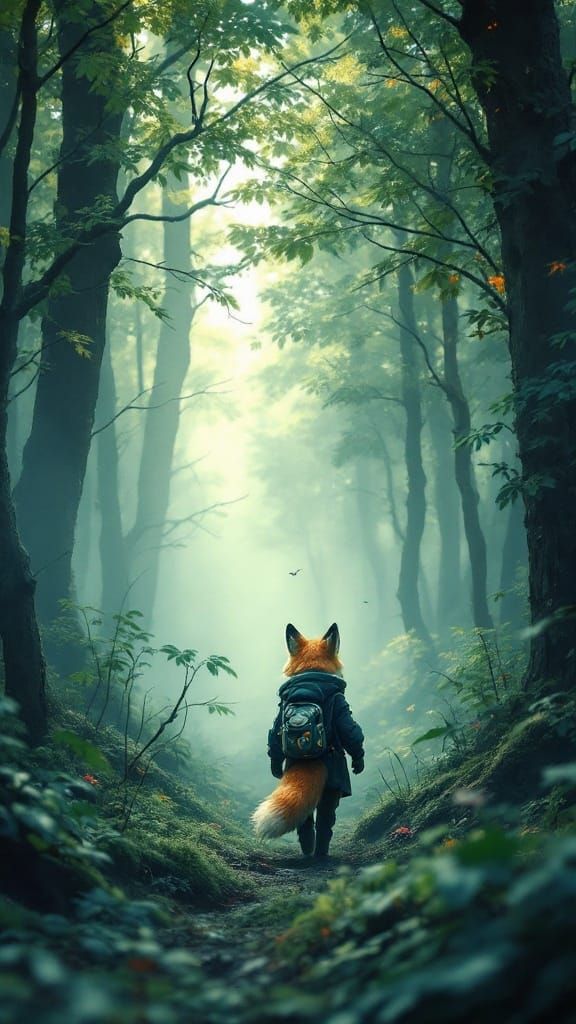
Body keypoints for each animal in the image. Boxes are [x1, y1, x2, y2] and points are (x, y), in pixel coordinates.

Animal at [252, 623, 365, 852]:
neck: (310, 677)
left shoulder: (279, 711)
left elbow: (273, 739)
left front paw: (274, 768)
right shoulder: (341, 705)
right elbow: (351, 732)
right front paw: (359, 760)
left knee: (305, 826)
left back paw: (308, 851)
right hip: (334, 787)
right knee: (325, 821)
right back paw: (320, 853)